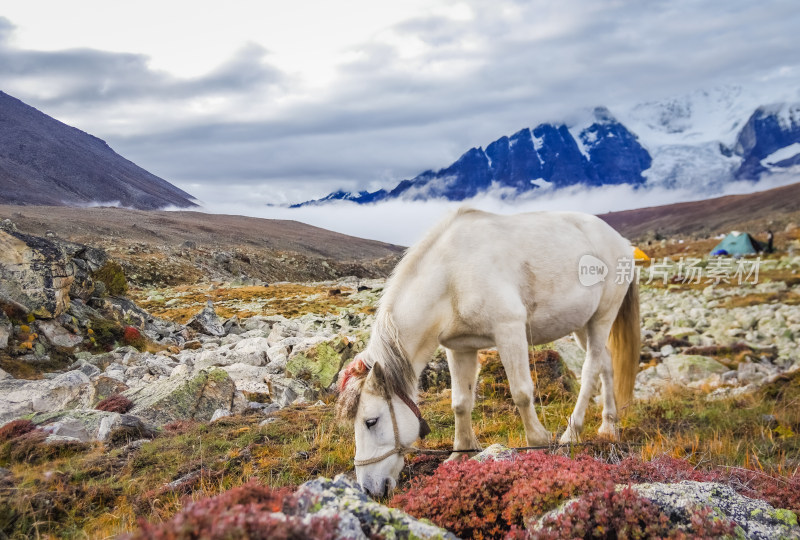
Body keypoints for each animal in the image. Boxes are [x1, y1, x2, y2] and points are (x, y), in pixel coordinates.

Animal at [334, 208, 640, 498]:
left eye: (371, 421)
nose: (368, 489)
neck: (452, 276)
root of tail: (621, 242)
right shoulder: (460, 348)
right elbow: (460, 403)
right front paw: (459, 455)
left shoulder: (509, 331)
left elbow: (521, 393)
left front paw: (537, 444)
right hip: (583, 324)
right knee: (606, 364)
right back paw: (609, 427)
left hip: (602, 317)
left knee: (590, 371)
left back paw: (571, 434)